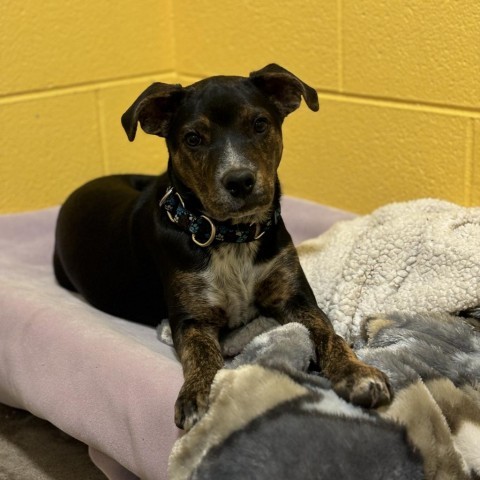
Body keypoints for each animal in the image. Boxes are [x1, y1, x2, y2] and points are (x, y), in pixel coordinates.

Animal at [53, 64, 390, 432]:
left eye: (259, 124)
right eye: (193, 139)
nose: (240, 181)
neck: (231, 235)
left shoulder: (295, 297)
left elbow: (328, 333)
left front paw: (357, 373)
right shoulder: (192, 319)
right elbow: (202, 355)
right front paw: (199, 395)